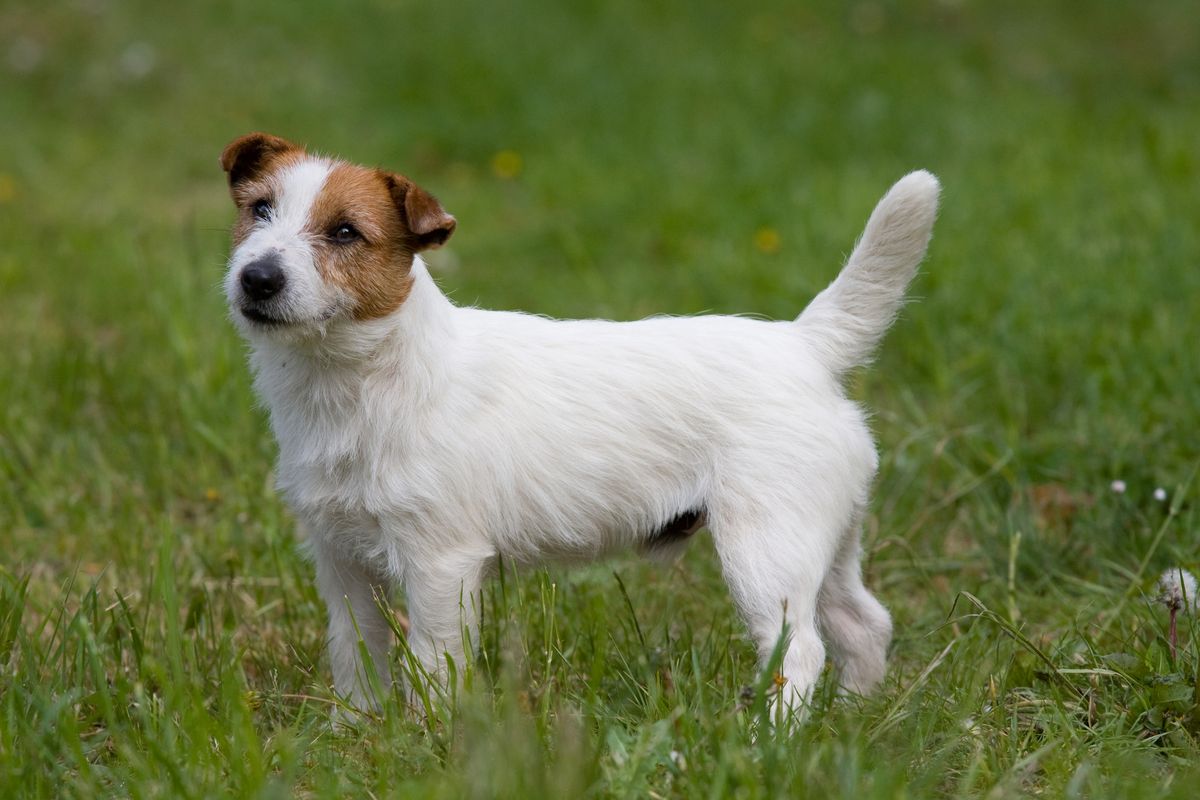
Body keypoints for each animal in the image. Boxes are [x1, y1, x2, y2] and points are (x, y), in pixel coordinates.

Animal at [220, 131, 940, 714]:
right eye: (259, 210)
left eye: (345, 232)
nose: (257, 279)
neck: (363, 379)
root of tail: (804, 346)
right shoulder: (340, 561)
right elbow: (357, 656)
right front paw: (358, 732)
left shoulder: (439, 565)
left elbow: (433, 664)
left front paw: (428, 742)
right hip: (825, 542)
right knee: (862, 623)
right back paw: (851, 718)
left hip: (765, 551)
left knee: (800, 651)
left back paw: (773, 742)